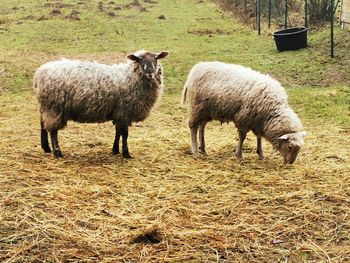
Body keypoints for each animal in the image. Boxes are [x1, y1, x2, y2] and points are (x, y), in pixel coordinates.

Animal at [34, 50, 170, 159]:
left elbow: (118, 132)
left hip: (46, 106)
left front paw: (115, 150)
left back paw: (46, 148)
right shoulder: (124, 112)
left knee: (42, 124)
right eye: (139, 60)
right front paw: (126, 154)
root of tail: (39, 73)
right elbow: (125, 134)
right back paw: (57, 153)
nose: (150, 73)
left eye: (156, 59)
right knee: (53, 131)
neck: (131, 76)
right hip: (54, 107)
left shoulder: (118, 113)